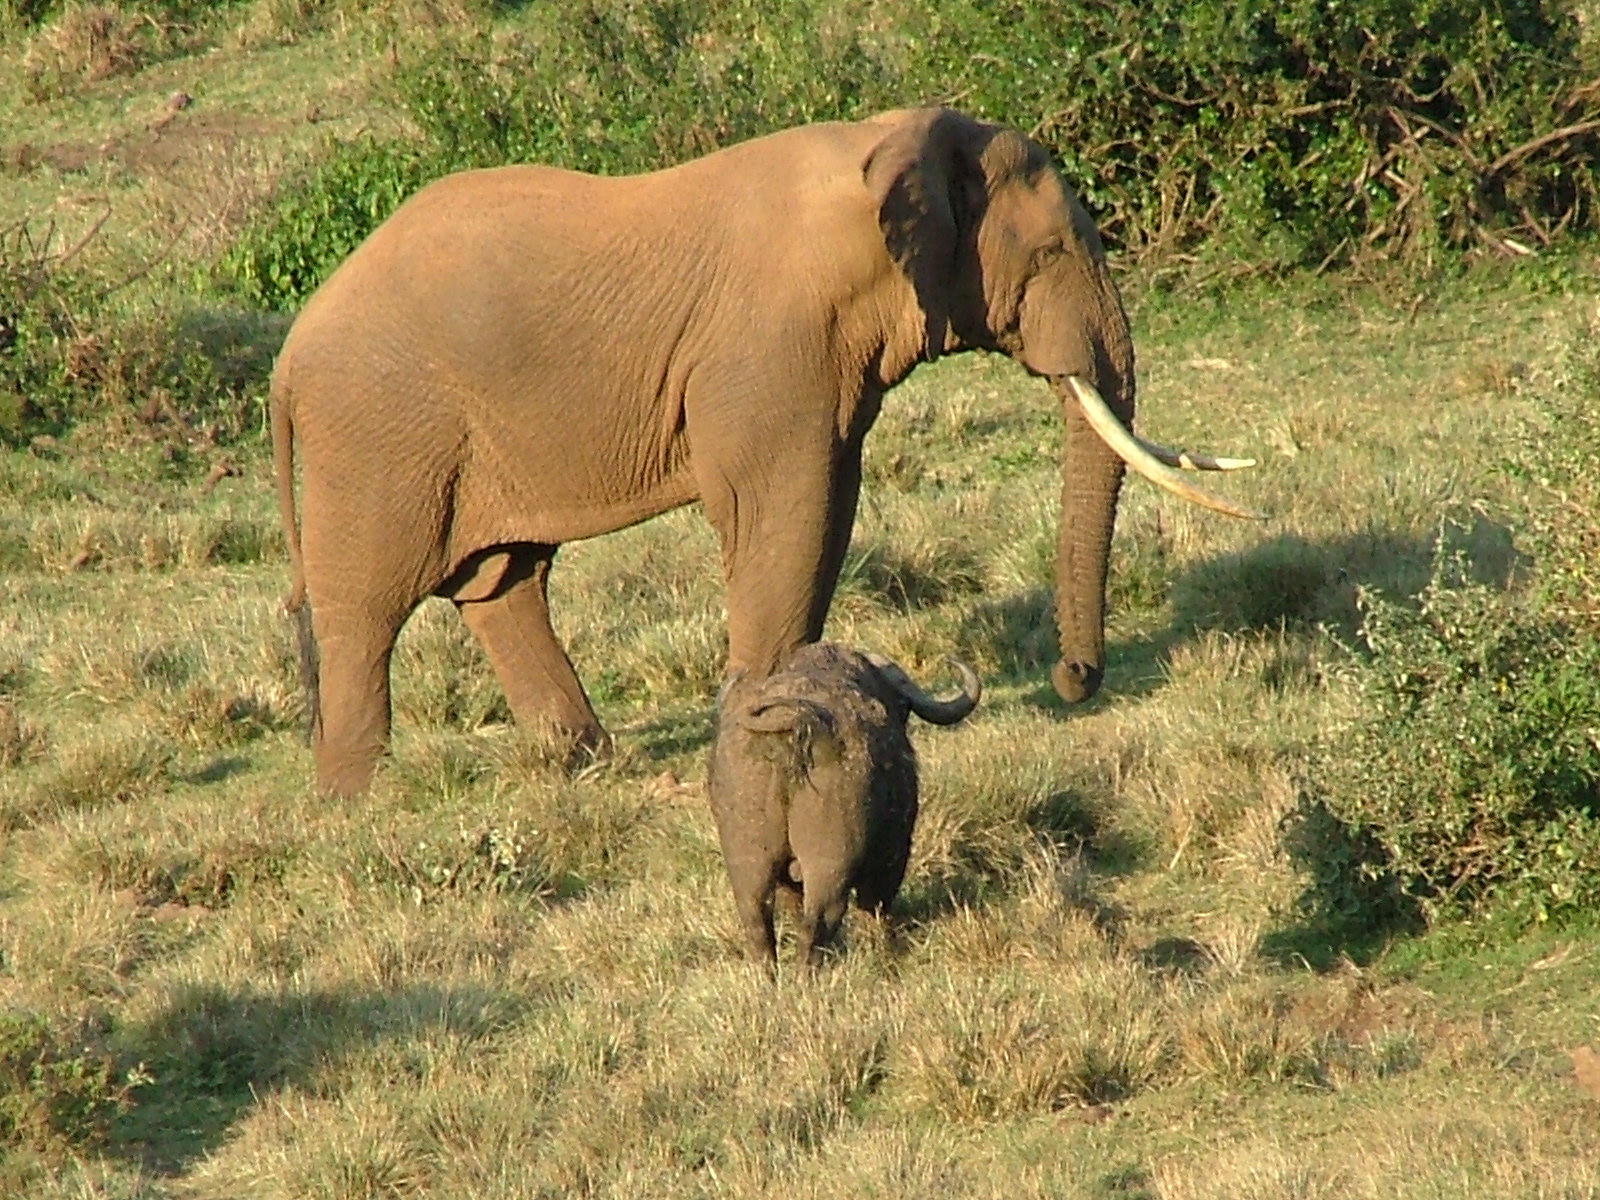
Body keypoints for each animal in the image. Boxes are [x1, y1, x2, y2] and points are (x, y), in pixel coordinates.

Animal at [270, 105, 1258, 796]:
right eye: (1052, 252)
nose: (1073, 679)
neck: (889, 139)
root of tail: (287, 358)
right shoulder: (770, 350)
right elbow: (787, 505)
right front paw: (768, 733)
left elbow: (829, 505)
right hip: (381, 434)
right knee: (368, 607)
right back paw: (357, 801)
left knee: (502, 581)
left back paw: (589, 765)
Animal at [708, 641, 981, 968]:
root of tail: (794, 722)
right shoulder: (892, 852)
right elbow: (876, 902)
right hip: (831, 865)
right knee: (819, 922)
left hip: (749, 861)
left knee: (758, 923)